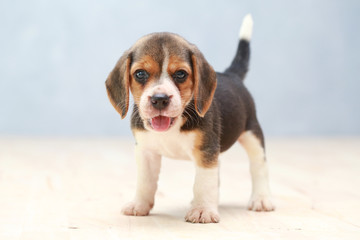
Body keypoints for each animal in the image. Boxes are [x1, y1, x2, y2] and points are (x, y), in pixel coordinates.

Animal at [105, 14, 274, 223]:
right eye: (140, 74)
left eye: (180, 74)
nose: (159, 99)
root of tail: (231, 75)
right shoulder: (146, 152)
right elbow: (145, 181)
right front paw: (139, 204)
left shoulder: (206, 151)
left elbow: (204, 182)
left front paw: (203, 210)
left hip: (252, 134)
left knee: (259, 166)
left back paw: (261, 199)